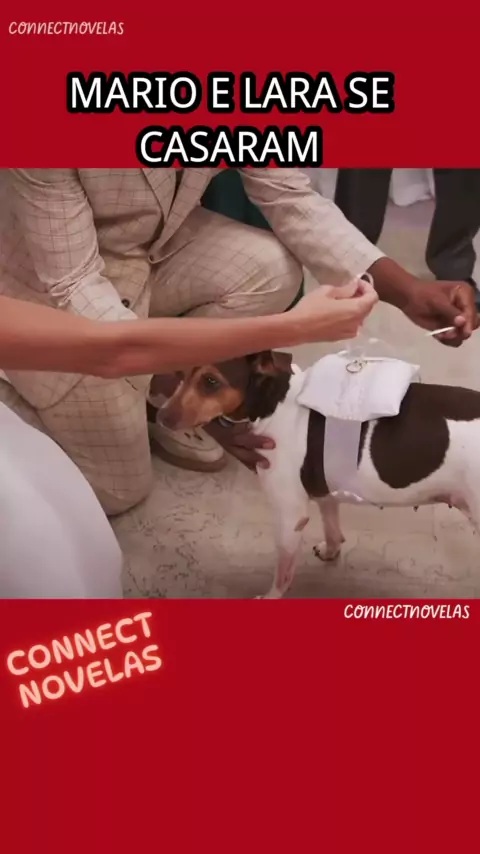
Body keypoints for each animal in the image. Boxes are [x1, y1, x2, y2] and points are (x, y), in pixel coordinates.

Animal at [158, 351, 480, 598]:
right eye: (181, 372)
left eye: (211, 382)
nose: (160, 416)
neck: (276, 402)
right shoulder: (326, 492)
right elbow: (332, 529)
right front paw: (330, 551)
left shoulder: (290, 517)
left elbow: (282, 574)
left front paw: (271, 597)